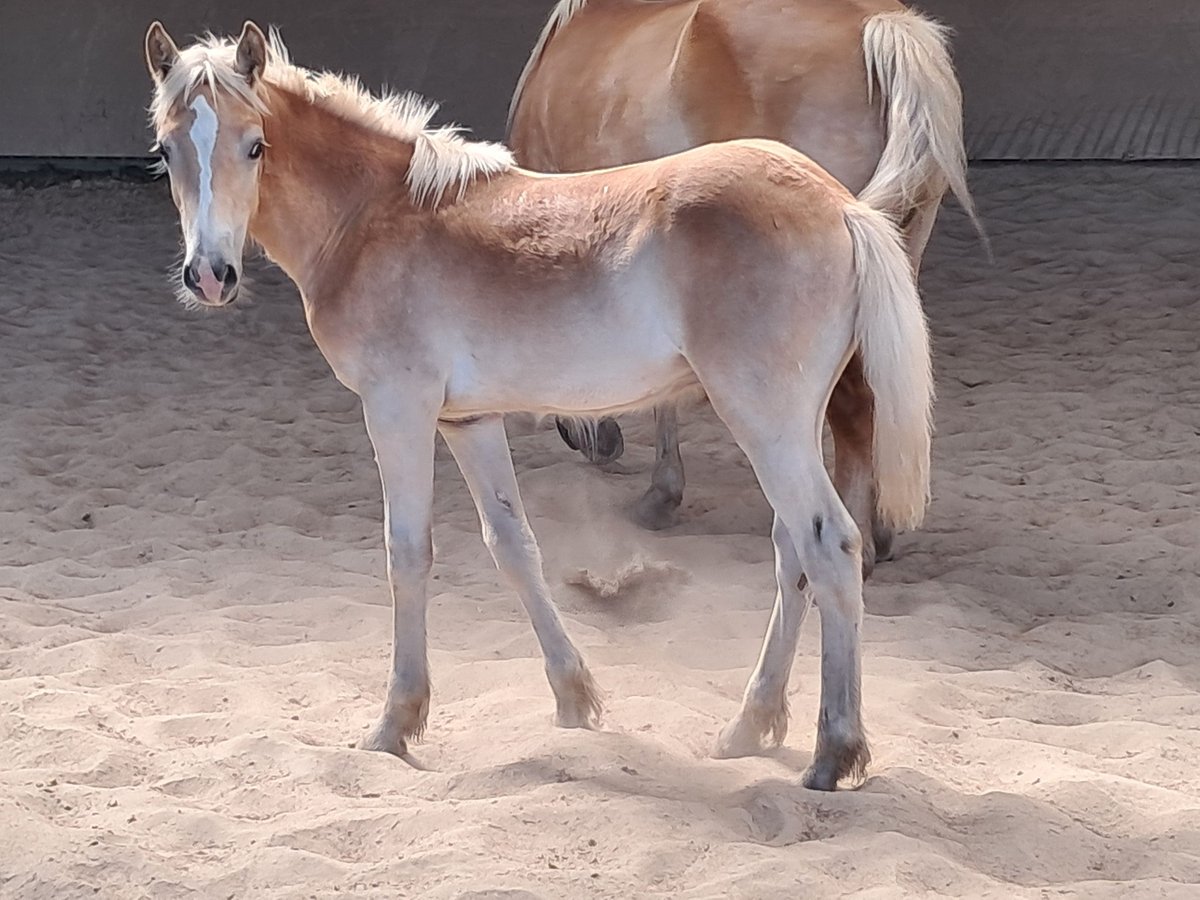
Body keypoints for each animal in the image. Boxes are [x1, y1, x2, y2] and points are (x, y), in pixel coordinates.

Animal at [138, 15, 926, 787]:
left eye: (255, 145)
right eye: (167, 152)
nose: (210, 276)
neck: (373, 216)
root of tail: (842, 205)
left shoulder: (398, 408)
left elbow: (407, 552)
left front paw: (394, 724)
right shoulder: (468, 421)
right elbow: (513, 546)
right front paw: (575, 701)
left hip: (764, 418)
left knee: (830, 544)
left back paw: (834, 752)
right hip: (784, 425)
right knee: (793, 550)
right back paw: (748, 728)